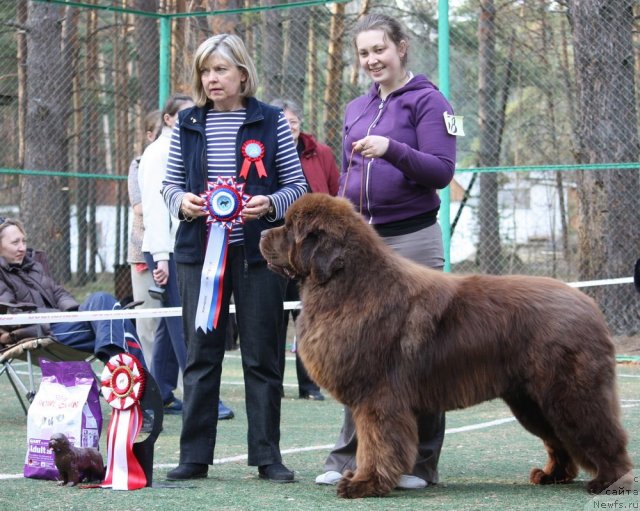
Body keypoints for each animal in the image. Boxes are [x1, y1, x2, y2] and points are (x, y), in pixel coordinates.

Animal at [258, 194, 632, 498]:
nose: (261, 234)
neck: (349, 285)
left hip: (569, 393)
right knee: (559, 440)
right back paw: (553, 475)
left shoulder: (378, 397)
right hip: (531, 401)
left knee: (602, 433)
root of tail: (589, 304)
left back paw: (609, 481)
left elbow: (376, 443)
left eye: (289, 227)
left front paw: (365, 483)